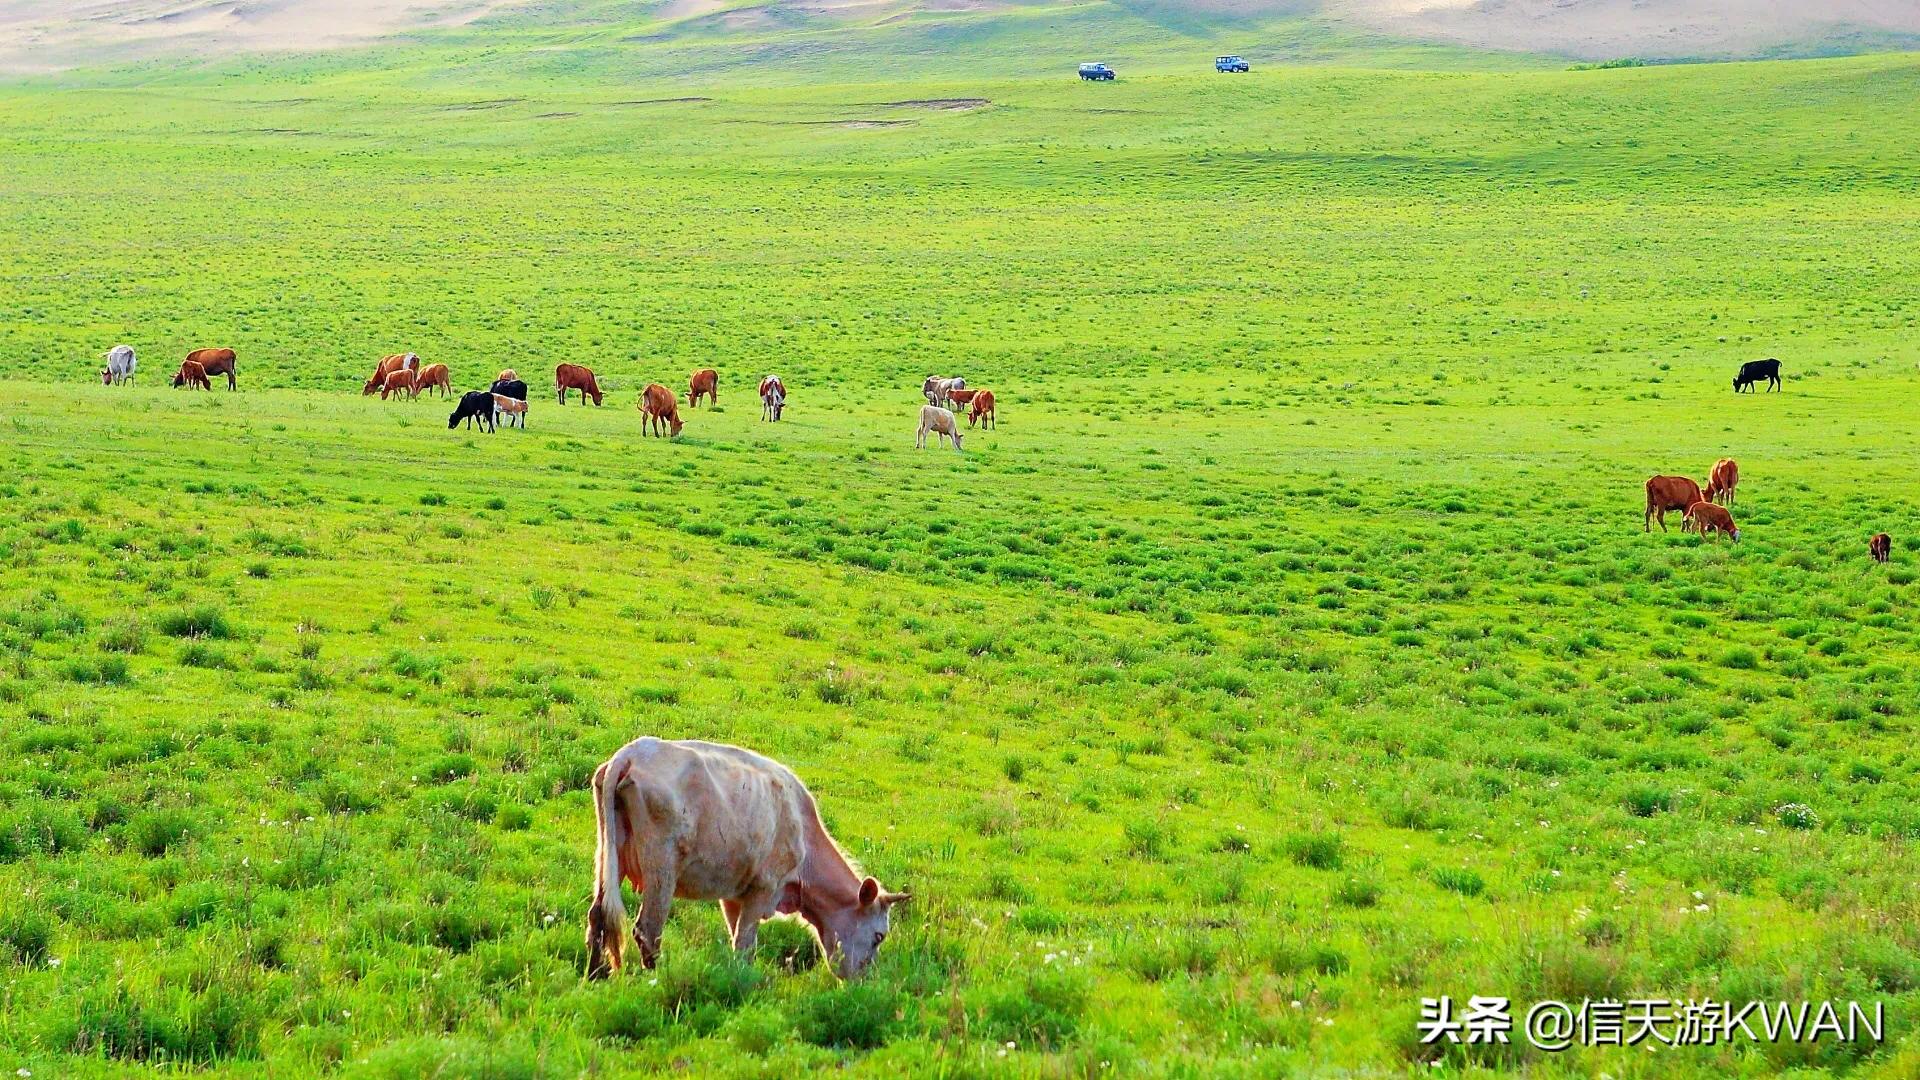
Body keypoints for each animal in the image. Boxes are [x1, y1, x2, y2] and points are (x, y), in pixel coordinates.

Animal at [583, 734, 906, 980]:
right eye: (879, 935)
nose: (865, 982)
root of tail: (632, 752)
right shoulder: (763, 888)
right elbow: (745, 945)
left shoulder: (733, 894)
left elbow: (735, 937)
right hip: (661, 868)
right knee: (648, 931)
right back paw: (656, 979)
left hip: (608, 857)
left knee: (598, 916)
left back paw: (594, 976)